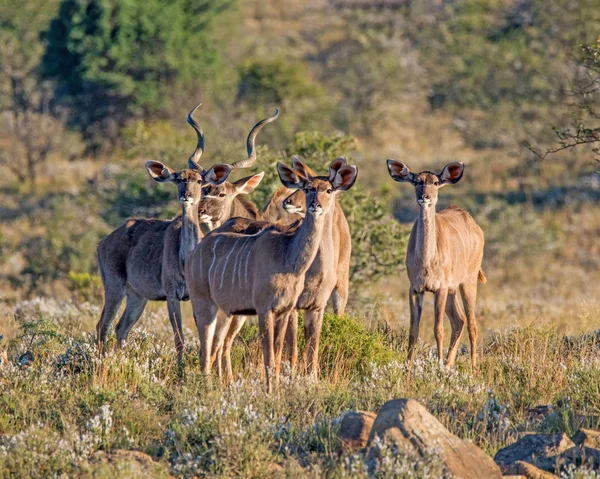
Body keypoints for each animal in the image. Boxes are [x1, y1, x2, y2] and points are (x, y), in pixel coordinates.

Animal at [96, 106, 278, 360]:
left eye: (200, 181)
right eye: (178, 179)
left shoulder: (195, 297)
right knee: (102, 326)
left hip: (137, 296)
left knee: (120, 328)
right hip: (114, 287)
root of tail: (105, 241)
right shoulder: (172, 295)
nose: (188, 197)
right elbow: (179, 340)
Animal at [188, 159, 356, 392]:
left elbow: (297, 351)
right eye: (307, 188)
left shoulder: (307, 308)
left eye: (328, 189)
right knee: (209, 347)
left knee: (218, 344)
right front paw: (275, 388)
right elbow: (278, 352)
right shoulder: (274, 309)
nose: (314, 205)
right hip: (208, 305)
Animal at [384, 161, 488, 372]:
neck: (426, 261)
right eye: (416, 181)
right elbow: (413, 330)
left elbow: (438, 328)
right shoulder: (416, 289)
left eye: (436, 182)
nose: (424, 197)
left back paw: (473, 369)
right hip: (453, 289)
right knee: (459, 319)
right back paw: (449, 364)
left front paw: (438, 366)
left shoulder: (439, 289)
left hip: (468, 281)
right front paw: (408, 368)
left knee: (472, 324)